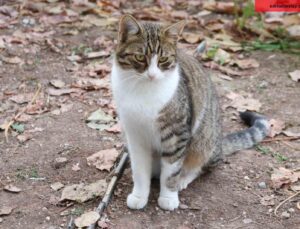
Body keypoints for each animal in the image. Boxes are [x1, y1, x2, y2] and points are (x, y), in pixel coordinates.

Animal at [110, 14, 270, 211]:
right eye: (140, 57)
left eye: (163, 59)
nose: (152, 75)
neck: (142, 90)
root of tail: (220, 144)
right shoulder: (135, 135)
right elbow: (139, 170)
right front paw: (140, 195)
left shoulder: (177, 134)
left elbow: (171, 171)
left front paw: (169, 197)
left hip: (203, 141)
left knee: (202, 165)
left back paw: (183, 178)